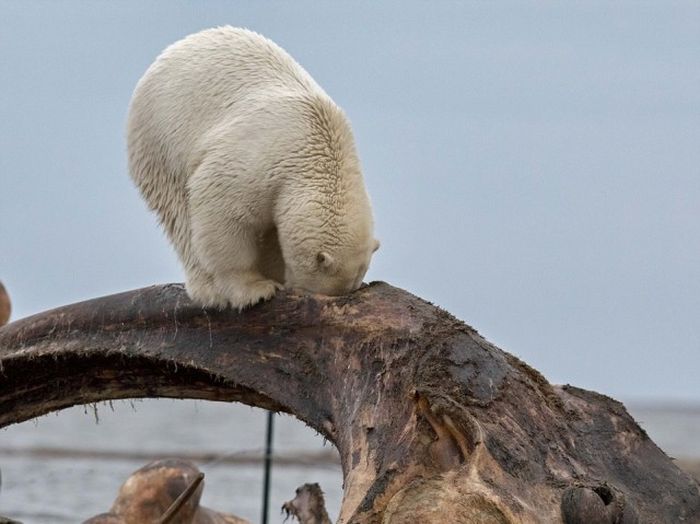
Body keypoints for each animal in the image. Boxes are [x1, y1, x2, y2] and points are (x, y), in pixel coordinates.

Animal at [126, 26, 378, 310]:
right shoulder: (258, 161)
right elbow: (223, 209)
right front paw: (256, 289)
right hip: (161, 142)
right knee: (180, 215)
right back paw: (209, 290)